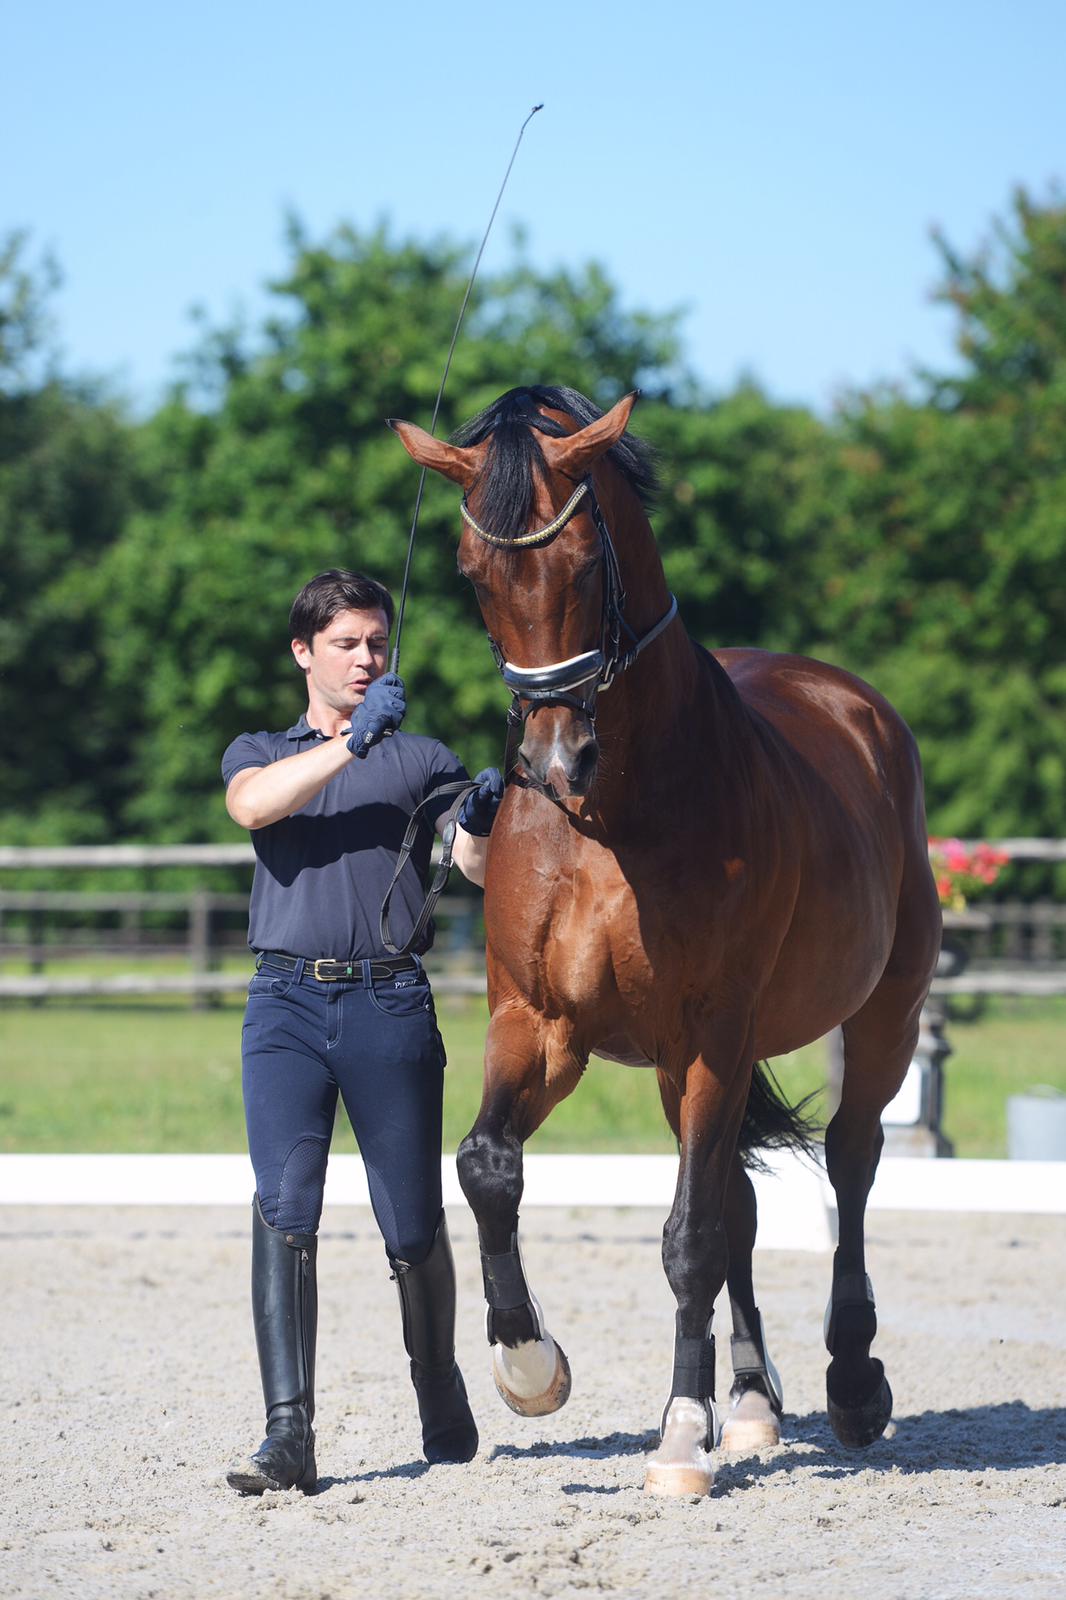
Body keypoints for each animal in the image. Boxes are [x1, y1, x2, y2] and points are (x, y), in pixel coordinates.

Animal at [390, 387, 941, 1497]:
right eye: (473, 574)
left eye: (583, 564)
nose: (554, 758)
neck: (615, 816)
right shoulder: (540, 1024)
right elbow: (485, 1165)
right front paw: (529, 1365)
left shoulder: (712, 1037)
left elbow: (690, 1235)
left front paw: (680, 1437)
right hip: (675, 1064)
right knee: (740, 1198)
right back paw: (754, 1407)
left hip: (881, 1016)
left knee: (850, 1163)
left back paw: (850, 1384)